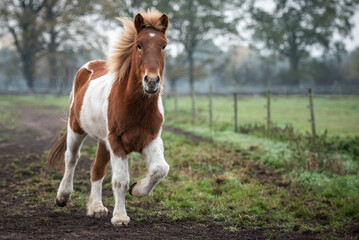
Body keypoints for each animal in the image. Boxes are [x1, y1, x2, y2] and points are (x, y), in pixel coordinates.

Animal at [47, 9, 170, 227]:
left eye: (163, 45)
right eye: (139, 45)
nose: (151, 81)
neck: (136, 107)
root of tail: (87, 68)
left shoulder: (150, 140)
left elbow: (160, 169)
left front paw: (137, 189)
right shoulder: (116, 141)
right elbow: (120, 180)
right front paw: (120, 216)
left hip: (103, 142)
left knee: (96, 168)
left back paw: (96, 207)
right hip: (76, 129)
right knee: (71, 158)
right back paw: (62, 196)